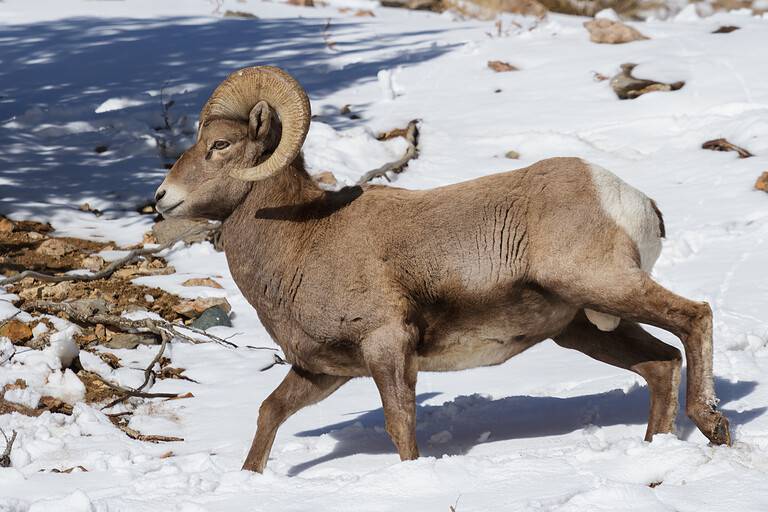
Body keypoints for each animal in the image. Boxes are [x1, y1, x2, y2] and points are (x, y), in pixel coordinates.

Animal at [154, 67, 732, 472]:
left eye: (221, 145)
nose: (160, 199)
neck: (303, 238)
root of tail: (632, 200)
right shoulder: (323, 371)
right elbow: (269, 413)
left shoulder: (387, 347)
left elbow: (400, 426)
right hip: (585, 327)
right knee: (661, 364)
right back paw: (657, 447)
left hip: (603, 286)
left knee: (694, 316)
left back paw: (713, 425)